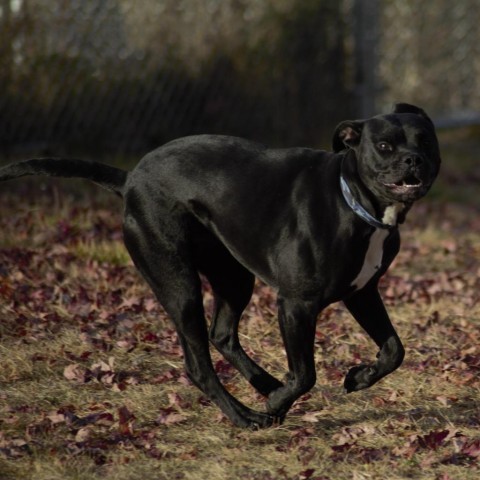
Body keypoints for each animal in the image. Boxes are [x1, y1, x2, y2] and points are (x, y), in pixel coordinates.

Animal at [0, 103, 440, 426]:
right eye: (384, 146)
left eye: (425, 139)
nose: (413, 160)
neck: (351, 199)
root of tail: (130, 180)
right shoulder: (296, 305)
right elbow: (305, 373)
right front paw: (279, 402)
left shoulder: (363, 292)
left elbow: (394, 350)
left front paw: (357, 377)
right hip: (179, 286)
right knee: (199, 364)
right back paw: (246, 416)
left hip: (233, 277)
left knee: (223, 334)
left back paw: (266, 384)